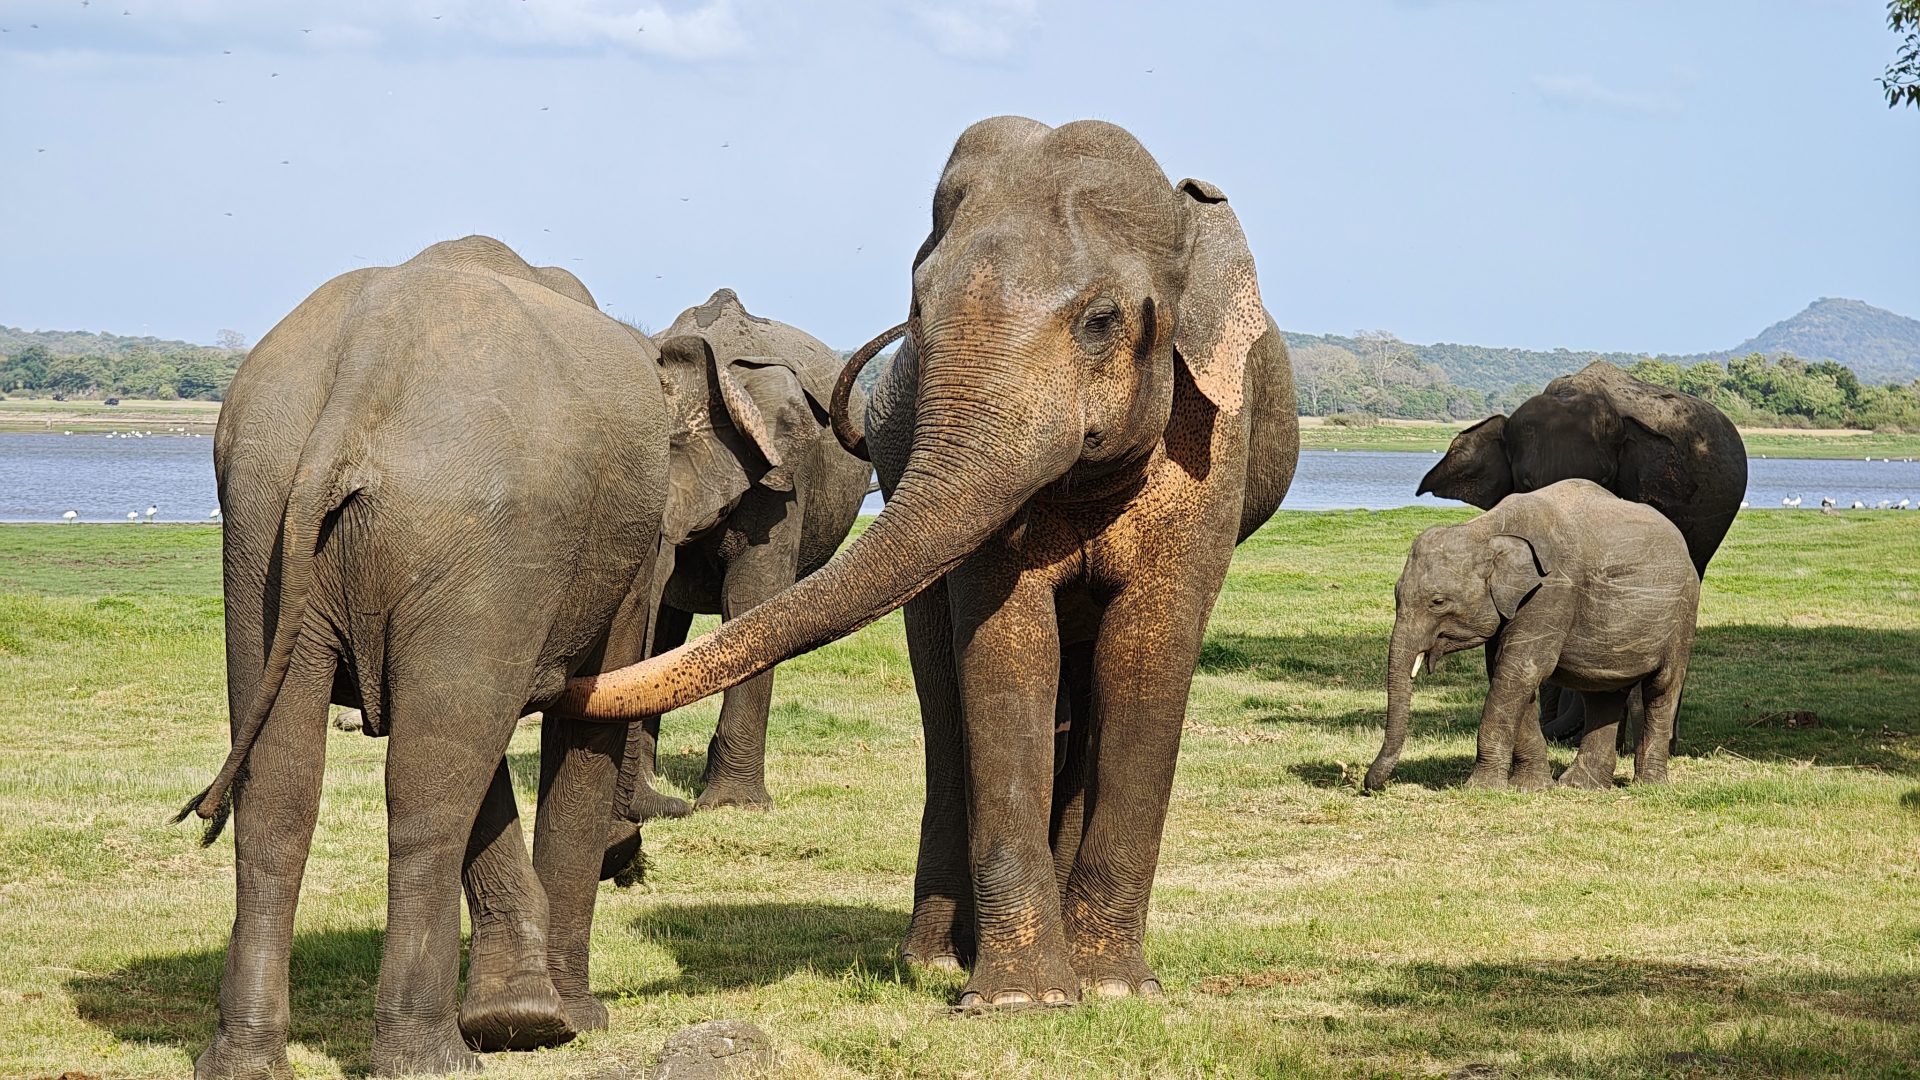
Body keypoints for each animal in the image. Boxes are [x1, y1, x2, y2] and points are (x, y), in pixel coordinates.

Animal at [179, 236, 670, 1077]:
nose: (633, 858)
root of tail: (361, 374)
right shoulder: (627, 560)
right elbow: (585, 721)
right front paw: (565, 1021)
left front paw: (523, 1019)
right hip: (479, 531)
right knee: (429, 791)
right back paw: (432, 1057)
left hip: (261, 521)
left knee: (282, 791)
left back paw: (246, 1061)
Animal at [1364, 479, 1700, 792]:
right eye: (1396, 594)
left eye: (1438, 602)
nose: (1370, 785)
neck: (1488, 530)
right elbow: (1506, 673)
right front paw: (1531, 787)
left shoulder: (1552, 591)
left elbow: (1520, 671)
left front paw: (1481, 789)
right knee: (1603, 693)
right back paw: (1580, 786)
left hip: (1683, 614)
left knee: (1662, 687)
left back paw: (1649, 786)